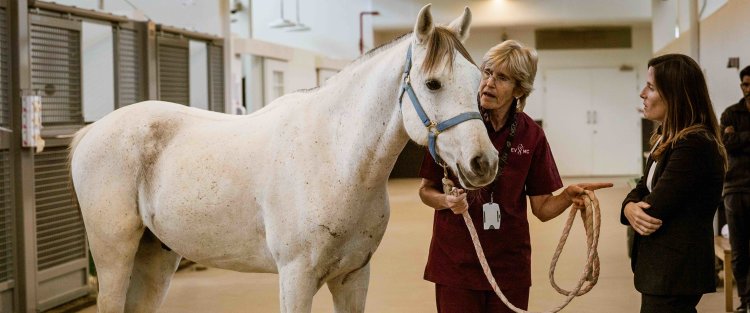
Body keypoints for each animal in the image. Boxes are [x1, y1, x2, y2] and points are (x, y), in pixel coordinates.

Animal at [72, 4, 500, 312]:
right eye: (433, 83)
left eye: (477, 80)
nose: (484, 163)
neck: (336, 160)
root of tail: (90, 132)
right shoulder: (296, 278)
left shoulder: (354, 276)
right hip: (114, 257)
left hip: (155, 256)